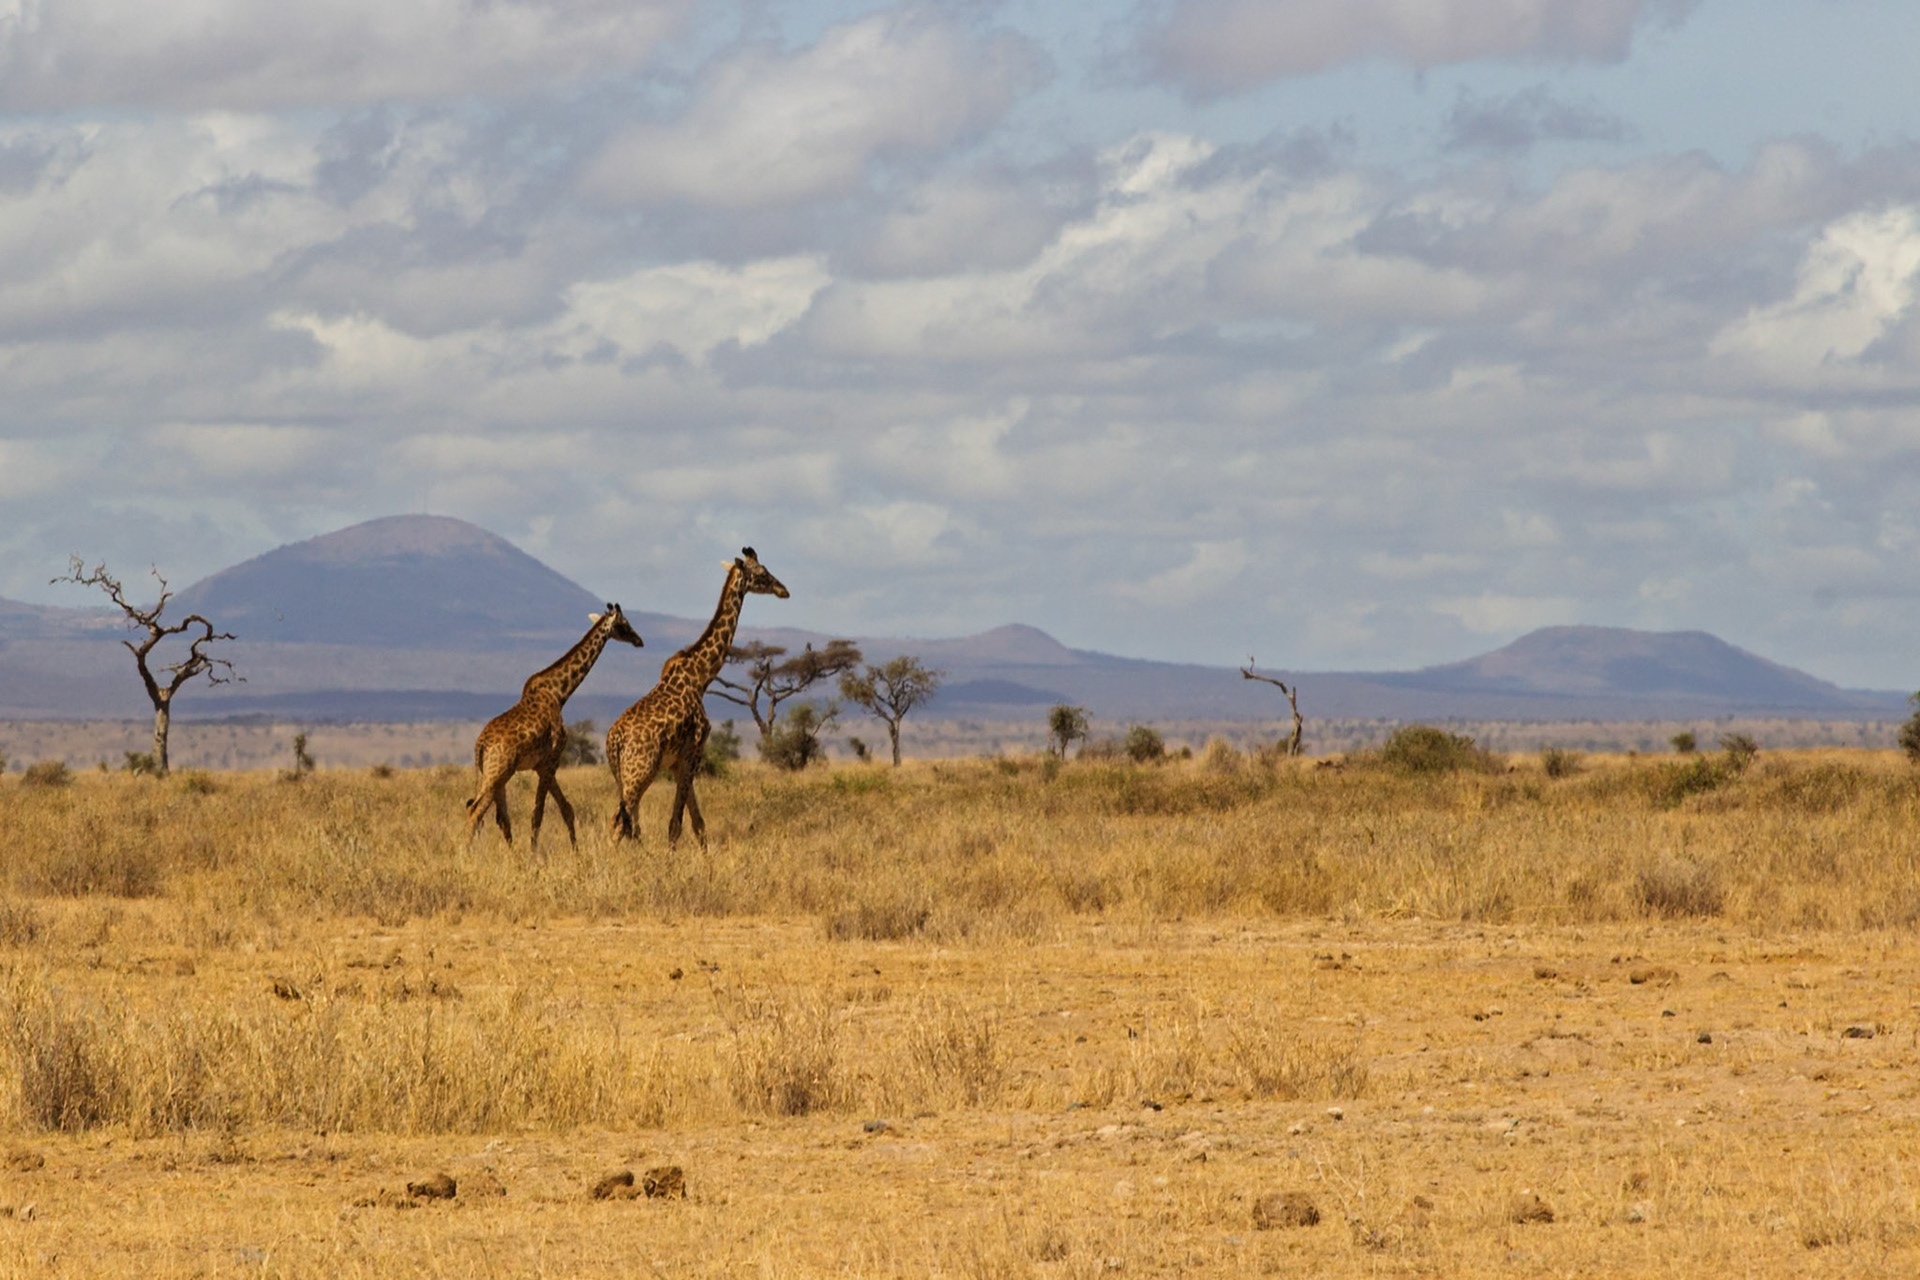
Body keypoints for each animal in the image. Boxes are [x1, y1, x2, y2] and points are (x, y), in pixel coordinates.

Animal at [466, 604, 644, 849]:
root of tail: (480, 745)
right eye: (624, 624)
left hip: (496, 774)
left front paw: (575, 851)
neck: (560, 693)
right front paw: (534, 853)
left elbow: (566, 809)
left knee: (500, 817)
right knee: (475, 811)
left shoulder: (543, 765)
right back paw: (464, 853)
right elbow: (538, 813)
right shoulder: (552, 760)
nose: (639, 640)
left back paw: (509, 853)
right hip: (497, 772)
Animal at [606, 547, 788, 846]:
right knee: (620, 823)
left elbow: (698, 823)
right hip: (640, 771)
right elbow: (676, 824)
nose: (783, 590)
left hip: (621, 776)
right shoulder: (695, 749)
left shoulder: (679, 761)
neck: (701, 676)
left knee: (623, 821)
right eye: (762, 573)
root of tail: (614, 741)